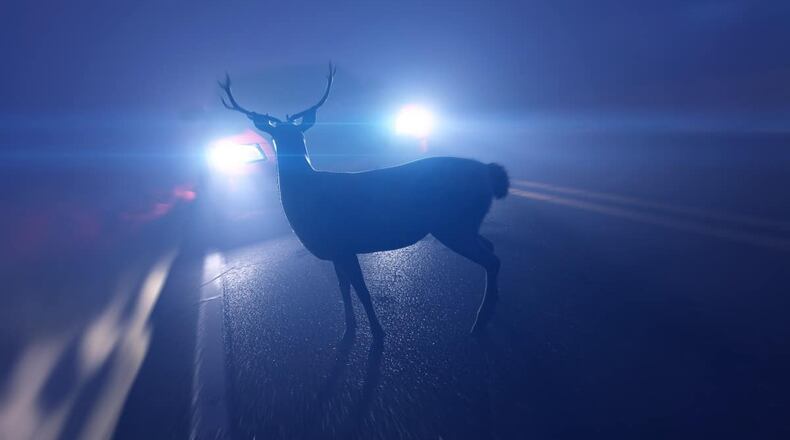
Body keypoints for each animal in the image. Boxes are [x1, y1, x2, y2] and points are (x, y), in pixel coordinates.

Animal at [219, 64, 509, 339]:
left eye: (297, 134)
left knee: (492, 259)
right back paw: (493, 308)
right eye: (276, 136)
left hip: (453, 223)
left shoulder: (344, 244)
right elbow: (343, 291)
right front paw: (348, 329)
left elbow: (362, 291)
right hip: (464, 223)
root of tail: (489, 172)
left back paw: (479, 321)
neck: (307, 196)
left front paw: (378, 333)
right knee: (491, 247)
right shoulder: (336, 250)